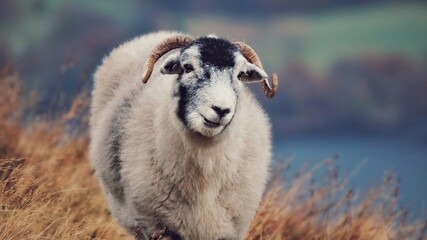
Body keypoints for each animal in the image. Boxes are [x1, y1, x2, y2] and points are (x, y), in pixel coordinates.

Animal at [89, 30, 280, 240]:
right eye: (188, 67)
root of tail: (161, 33)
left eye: (240, 75)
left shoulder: (229, 230)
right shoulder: (156, 225)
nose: (221, 110)